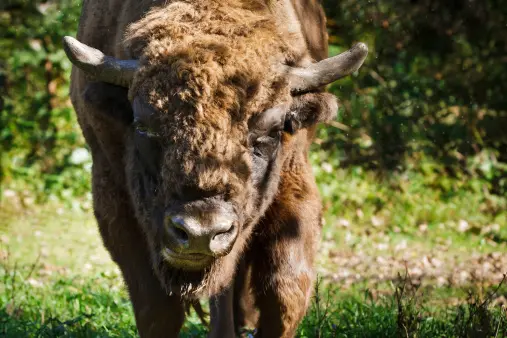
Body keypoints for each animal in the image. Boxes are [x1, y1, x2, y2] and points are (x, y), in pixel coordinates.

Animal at [65, 0, 368, 336]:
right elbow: (156, 308)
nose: (200, 232)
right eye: (143, 126)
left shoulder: (293, 177)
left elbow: (285, 291)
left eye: (270, 131)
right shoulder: (115, 196)